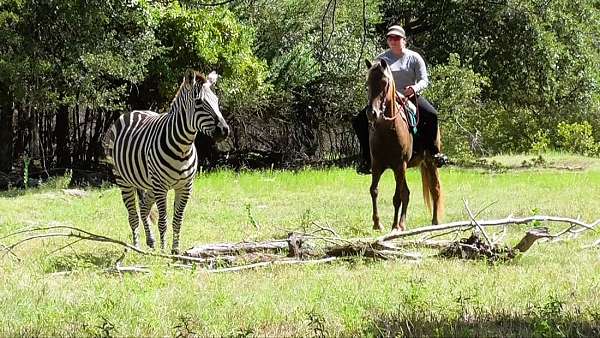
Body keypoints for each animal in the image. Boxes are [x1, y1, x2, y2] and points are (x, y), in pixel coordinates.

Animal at [102, 69, 229, 254]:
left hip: (148, 183)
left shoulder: (185, 186)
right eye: (199, 102)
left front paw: (175, 250)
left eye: (217, 101)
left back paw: (150, 241)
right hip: (124, 180)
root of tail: (132, 112)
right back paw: (136, 247)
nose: (224, 130)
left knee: (144, 208)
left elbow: (178, 220)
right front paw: (163, 252)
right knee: (133, 215)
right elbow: (163, 221)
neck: (183, 147)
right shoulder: (161, 187)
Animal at [364, 59, 442, 231]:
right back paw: (403, 223)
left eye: (384, 82)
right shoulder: (377, 164)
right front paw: (377, 223)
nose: (372, 113)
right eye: (368, 83)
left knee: (435, 189)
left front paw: (393, 226)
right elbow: (374, 190)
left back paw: (434, 222)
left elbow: (396, 197)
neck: (388, 131)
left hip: (429, 161)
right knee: (407, 193)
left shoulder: (400, 165)